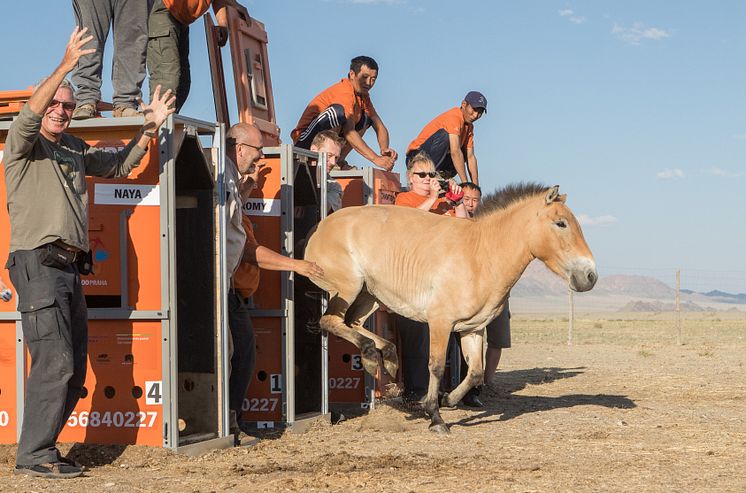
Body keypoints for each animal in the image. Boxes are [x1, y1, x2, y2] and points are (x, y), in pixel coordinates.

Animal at [304, 182, 600, 430]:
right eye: (561, 223)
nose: (590, 276)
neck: (479, 255)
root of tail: (321, 227)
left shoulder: (472, 329)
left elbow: (476, 372)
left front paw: (448, 400)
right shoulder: (440, 323)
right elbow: (435, 366)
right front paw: (435, 415)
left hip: (370, 295)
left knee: (352, 323)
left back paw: (384, 357)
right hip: (348, 288)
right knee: (330, 321)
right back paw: (372, 355)